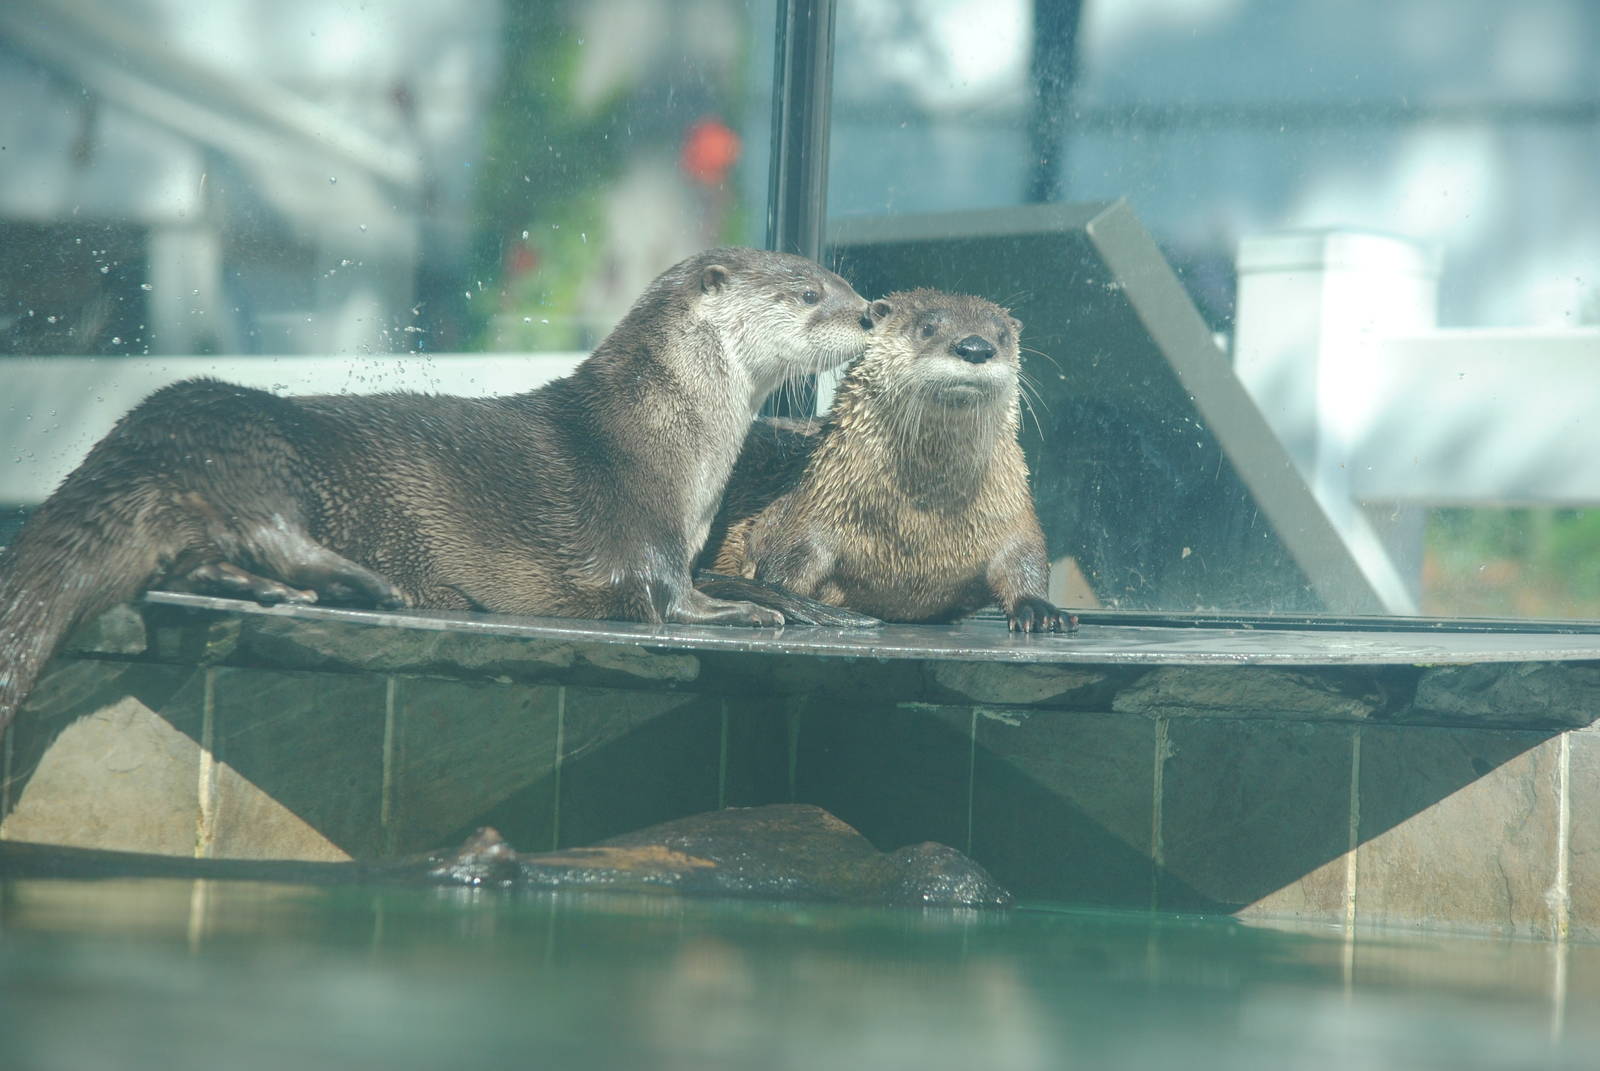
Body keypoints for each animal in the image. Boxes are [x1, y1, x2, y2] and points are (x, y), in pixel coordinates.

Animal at [0, 248, 876, 732]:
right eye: (807, 294)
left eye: (840, 278)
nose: (871, 312)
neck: (665, 443)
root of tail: (126, 445)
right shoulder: (639, 538)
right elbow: (666, 599)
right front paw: (745, 613)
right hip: (254, 448)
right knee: (266, 528)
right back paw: (371, 585)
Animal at [698, 288, 1074, 633]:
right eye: (928, 328)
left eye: (1001, 335)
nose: (976, 347)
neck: (922, 523)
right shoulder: (809, 509)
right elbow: (780, 569)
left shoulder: (1011, 512)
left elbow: (1025, 560)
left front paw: (1040, 610)